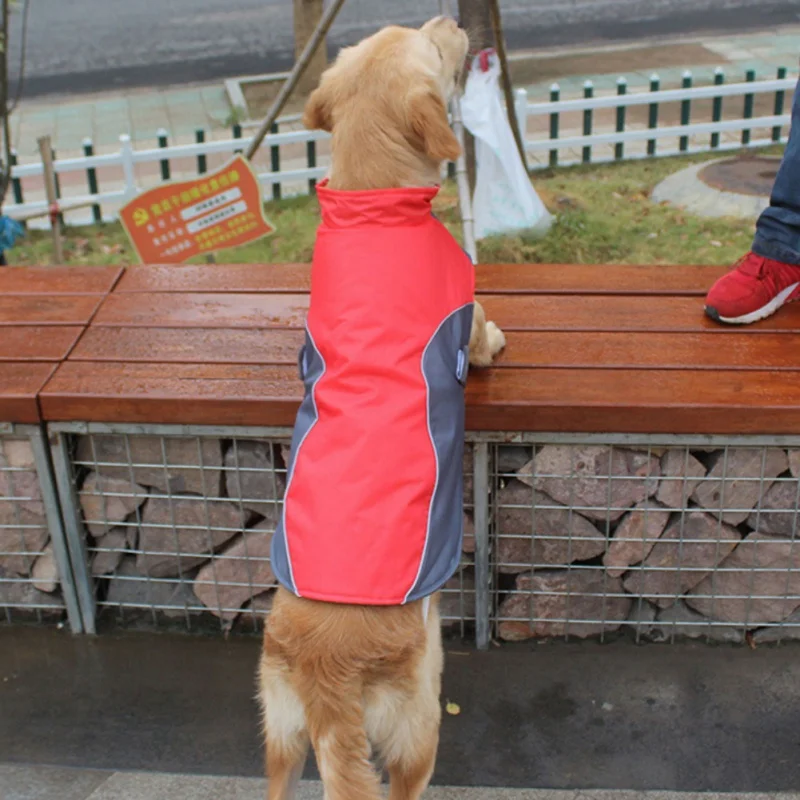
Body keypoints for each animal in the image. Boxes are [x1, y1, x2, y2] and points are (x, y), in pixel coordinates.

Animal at [260, 17, 504, 800]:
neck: (371, 202)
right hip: (419, 715)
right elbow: (483, 329)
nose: (451, 20)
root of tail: (325, 671)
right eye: (432, 46)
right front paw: (498, 344)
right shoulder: (464, 301)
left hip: (278, 732)